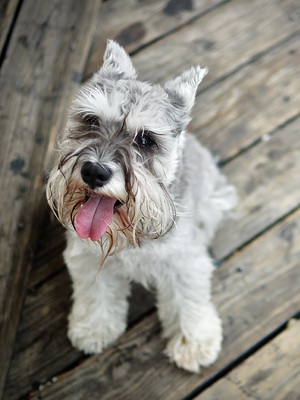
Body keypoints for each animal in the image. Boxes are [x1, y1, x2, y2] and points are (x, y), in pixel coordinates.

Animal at [46, 39, 237, 372]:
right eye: (91, 120)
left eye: (146, 139)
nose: (94, 172)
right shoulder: (87, 256)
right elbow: (96, 293)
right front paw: (94, 328)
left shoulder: (183, 263)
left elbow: (187, 299)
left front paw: (194, 343)